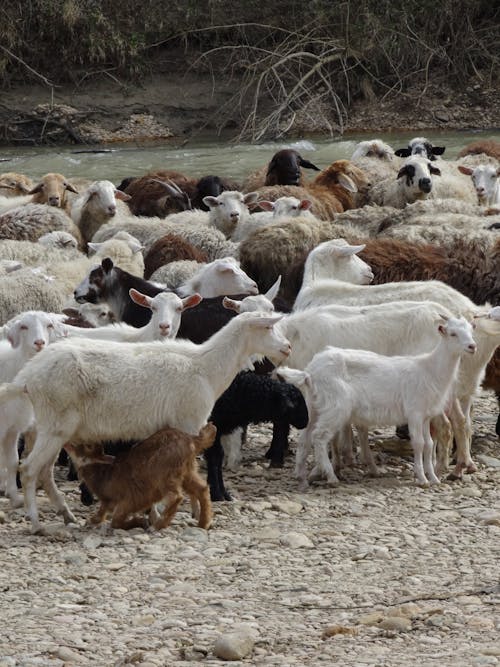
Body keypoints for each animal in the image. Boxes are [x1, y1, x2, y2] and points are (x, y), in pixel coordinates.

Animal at [0, 310, 292, 532]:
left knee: (44, 472)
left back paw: (66, 514)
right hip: (55, 425)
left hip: (55, 427)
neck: (206, 366)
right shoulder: (189, 423)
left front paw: (162, 512)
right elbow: (189, 469)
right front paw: (190, 513)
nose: (288, 347)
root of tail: (27, 377)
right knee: (29, 470)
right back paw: (36, 523)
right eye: (268, 327)